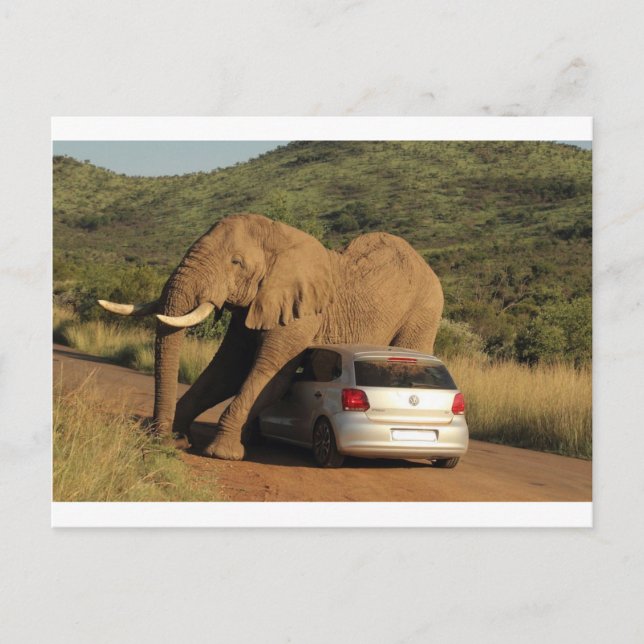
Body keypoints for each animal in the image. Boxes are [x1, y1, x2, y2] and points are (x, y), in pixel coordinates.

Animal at [98, 213, 444, 461]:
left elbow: (269, 377)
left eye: (236, 262)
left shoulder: (302, 314)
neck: (279, 237)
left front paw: (221, 453)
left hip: (423, 311)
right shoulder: (255, 304)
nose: (159, 443)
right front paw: (180, 439)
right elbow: (227, 371)